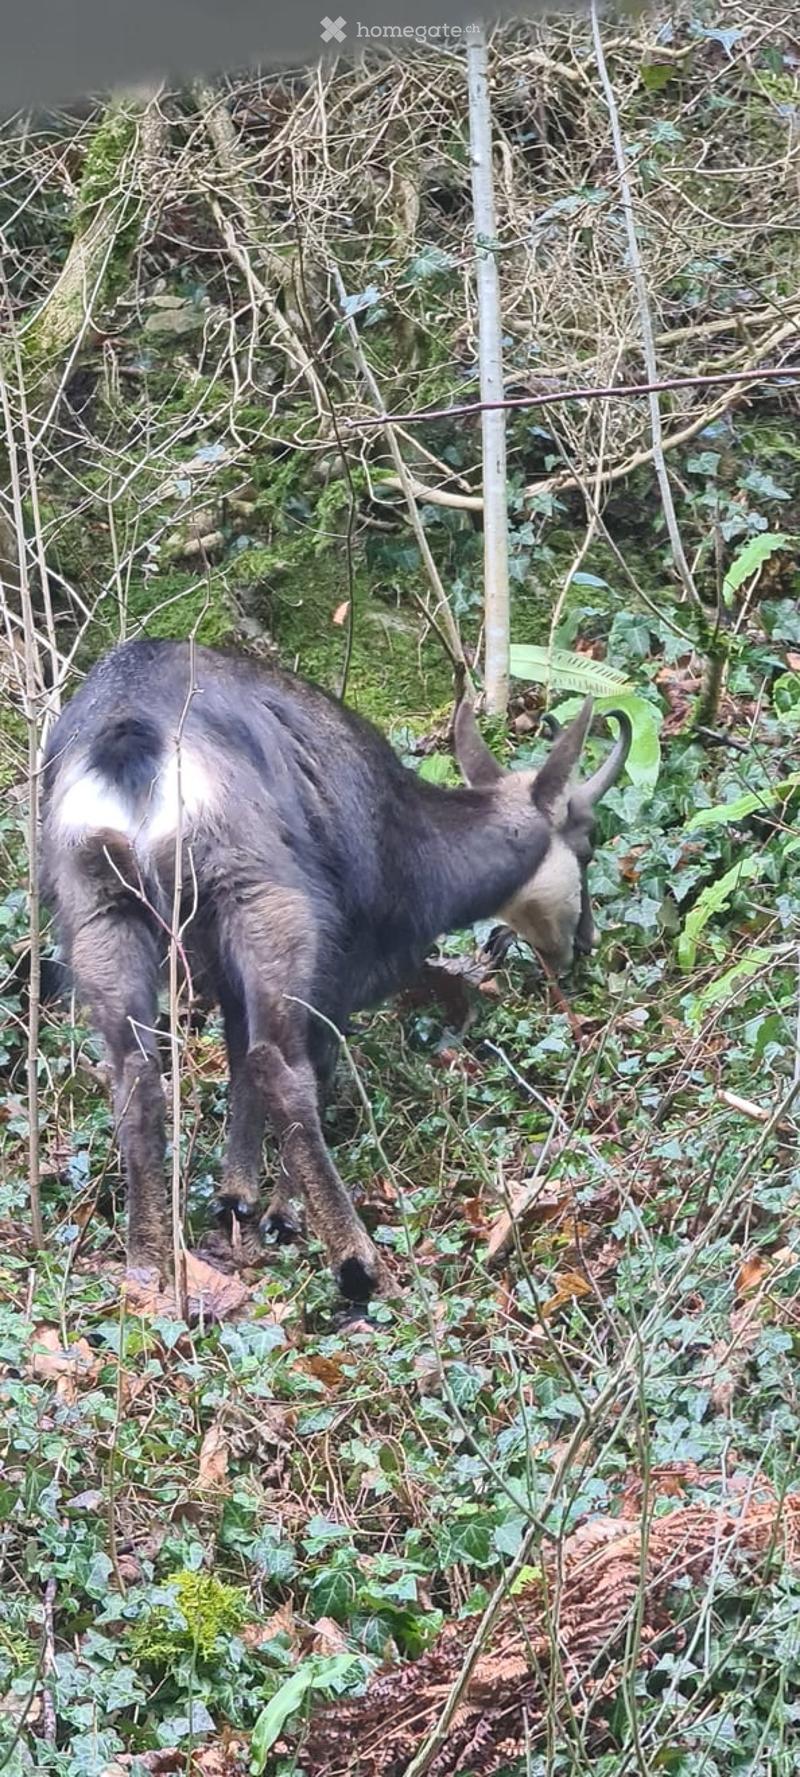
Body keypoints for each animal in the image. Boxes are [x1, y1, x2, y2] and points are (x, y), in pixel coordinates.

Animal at [40, 638, 630, 1302]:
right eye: (587, 841)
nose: (584, 945)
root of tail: (130, 733)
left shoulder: (220, 963)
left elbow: (236, 1052)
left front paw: (236, 1196)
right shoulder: (338, 972)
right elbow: (305, 1063)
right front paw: (278, 1211)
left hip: (101, 907)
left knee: (137, 1071)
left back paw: (146, 1267)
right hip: (263, 895)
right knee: (280, 1064)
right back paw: (357, 1262)